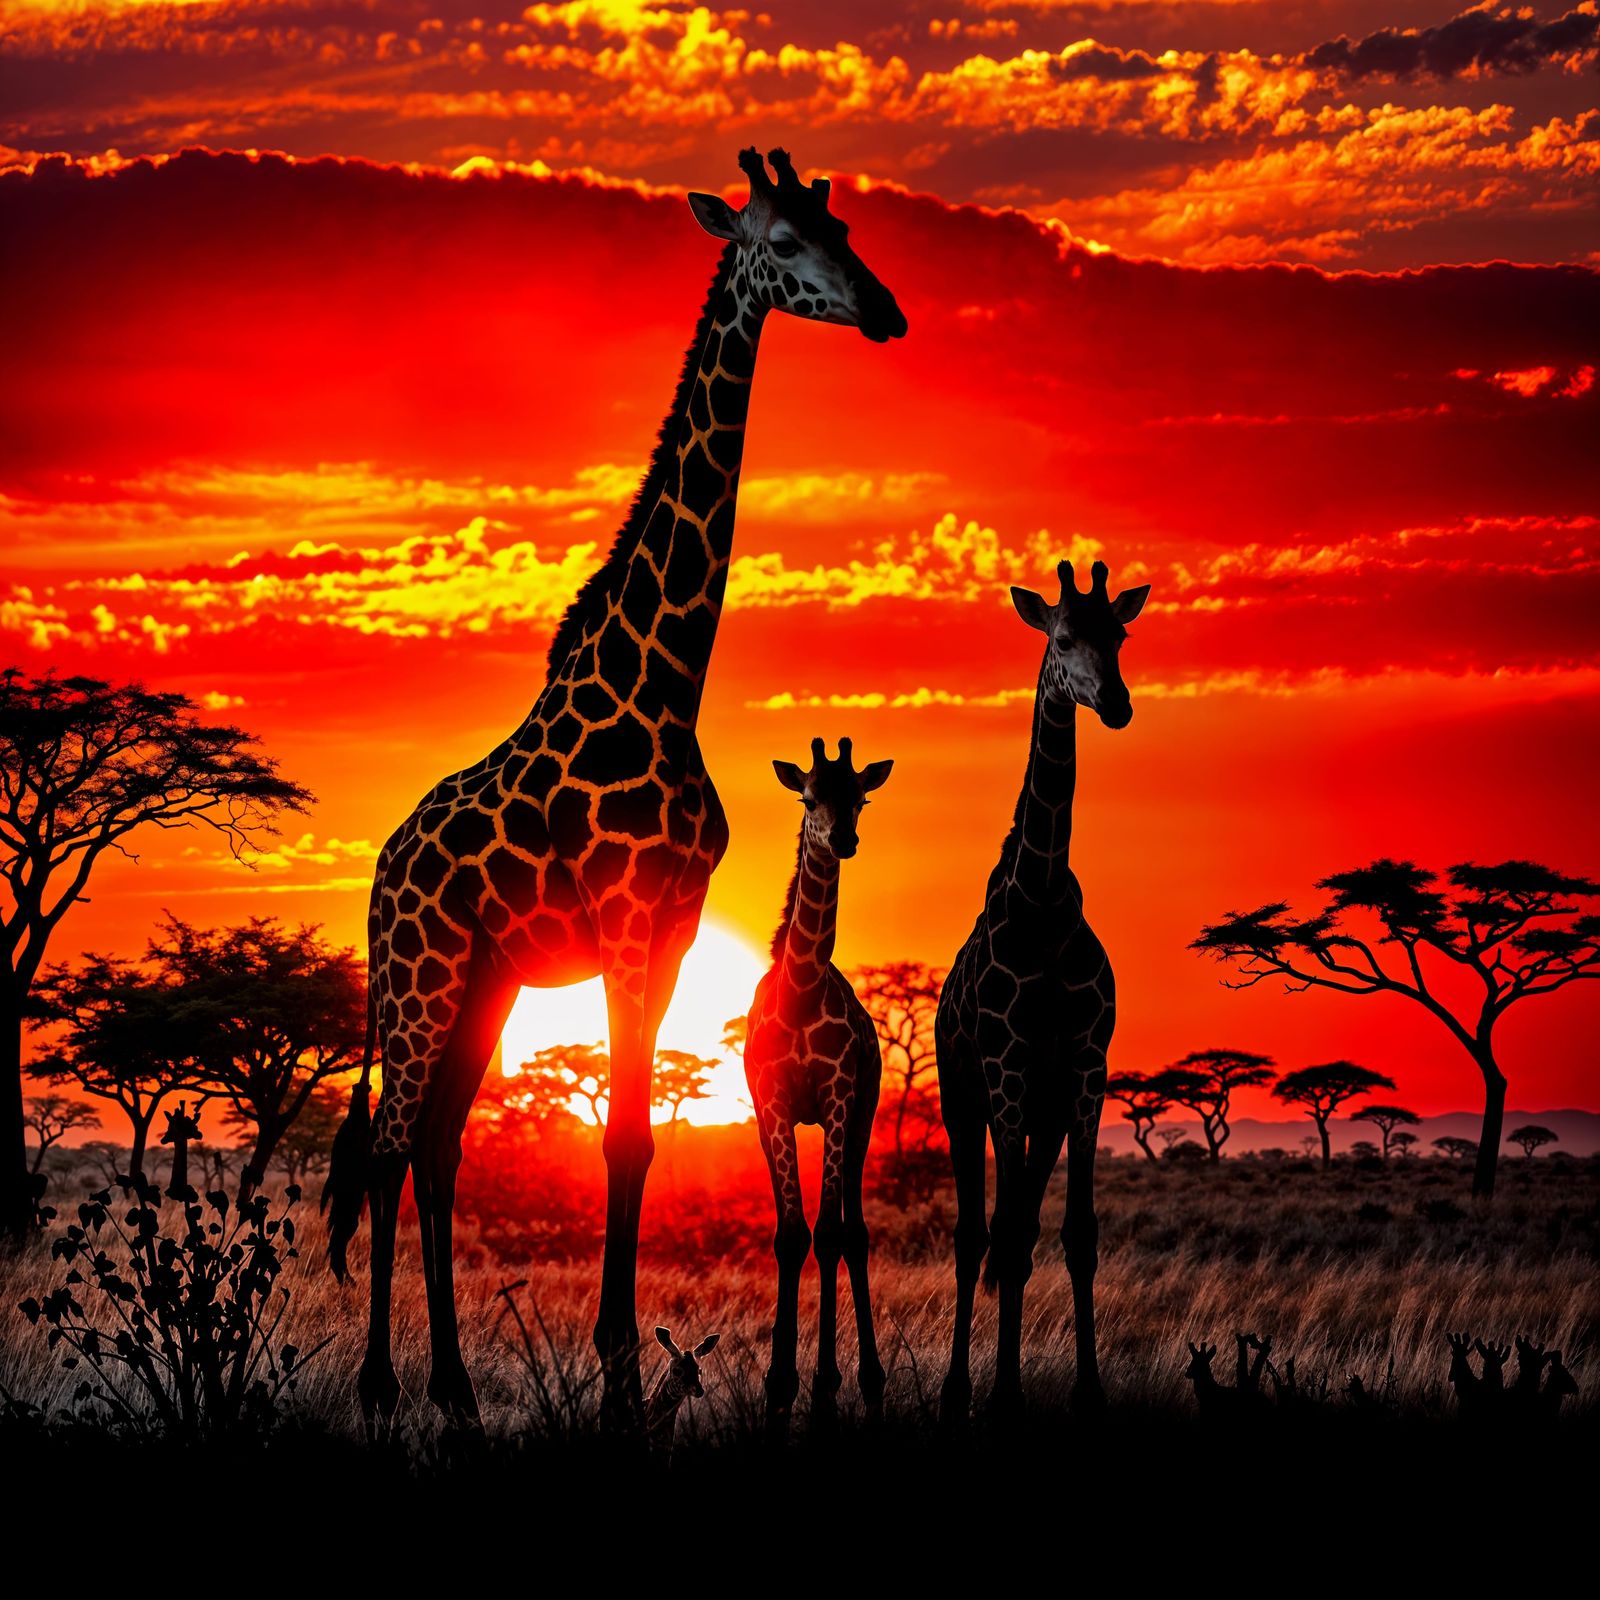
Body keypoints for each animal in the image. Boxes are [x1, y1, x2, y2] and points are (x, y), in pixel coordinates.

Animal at [322, 147, 907, 1433]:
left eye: (842, 228)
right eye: (783, 241)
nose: (886, 311)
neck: (664, 684)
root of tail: (381, 867)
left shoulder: (677, 928)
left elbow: (635, 1140)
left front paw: (622, 1370)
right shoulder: (628, 922)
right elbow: (626, 1140)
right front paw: (622, 1378)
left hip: (486, 981)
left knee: (435, 1147)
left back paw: (453, 1389)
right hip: (420, 974)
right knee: (387, 1148)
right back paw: (383, 1387)